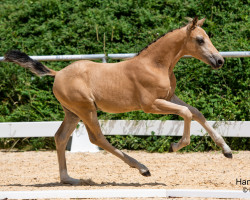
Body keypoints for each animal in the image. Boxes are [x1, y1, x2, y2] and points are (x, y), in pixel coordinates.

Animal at [4, 17, 232, 184]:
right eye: (200, 40)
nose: (220, 61)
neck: (155, 64)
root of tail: (57, 72)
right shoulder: (151, 105)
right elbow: (186, 113)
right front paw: (175, 146)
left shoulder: (169, 97)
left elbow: (196, 112)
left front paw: (226, 151)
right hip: (86, 109)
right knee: (97, 138)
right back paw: (142, 168)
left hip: (72, 112)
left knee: (60, 137)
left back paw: (68, 179)